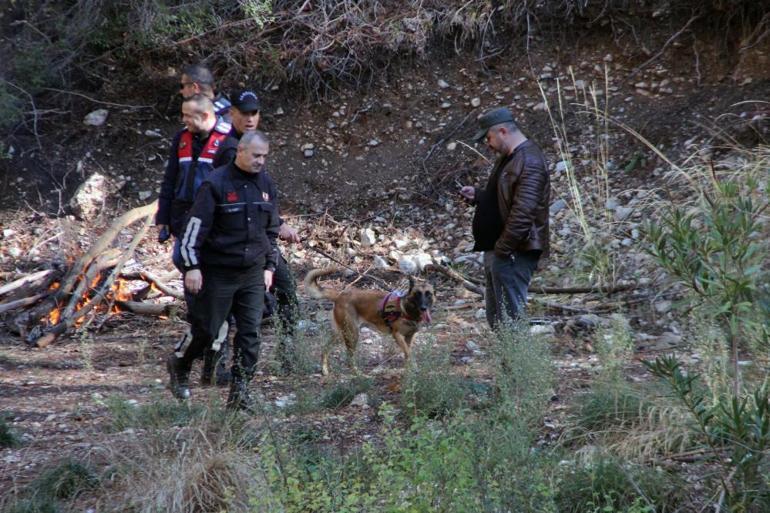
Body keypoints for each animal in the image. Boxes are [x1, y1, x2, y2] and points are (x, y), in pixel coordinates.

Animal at [304, 268, 432, 372]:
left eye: (428, 294)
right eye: (417, 294)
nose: (423, 307)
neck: (407, 310)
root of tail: (340, 295)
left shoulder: (409, 337)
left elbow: (407, 352)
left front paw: (408, 369)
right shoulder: (397, 335)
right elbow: (408, 352)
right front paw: (413, 367)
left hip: (341, 333)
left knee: (325, 348)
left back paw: (325, 371)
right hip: (352, 334)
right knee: (349, 359)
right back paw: (358, 375)